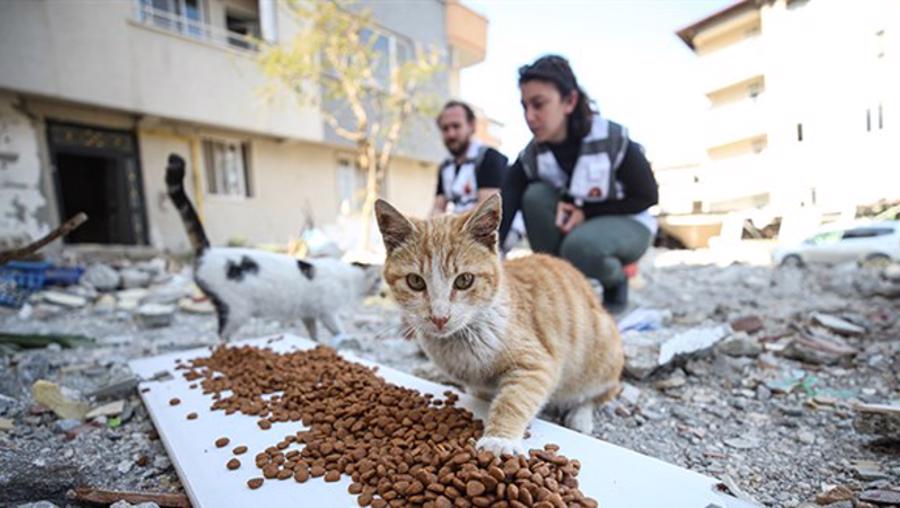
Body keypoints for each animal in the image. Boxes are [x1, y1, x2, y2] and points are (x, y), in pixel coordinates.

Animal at [165, 153, 380, 344]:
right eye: (378, 280)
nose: (380, 290)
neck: (351, 274)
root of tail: (208, 252)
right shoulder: (327, 312)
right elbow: (338, 330)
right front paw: (342, 339)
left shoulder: (308, 314)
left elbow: (313, 333)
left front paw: (317, 343)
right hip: (235, 309)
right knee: (222, 334)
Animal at [372, 194, 620, 456]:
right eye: (415, 281)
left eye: (464, 280)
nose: (440, 317)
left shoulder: (537, 363)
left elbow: (513, 400)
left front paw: (499, 439)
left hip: (601, 356)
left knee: (600, 394)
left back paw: (580, 417)